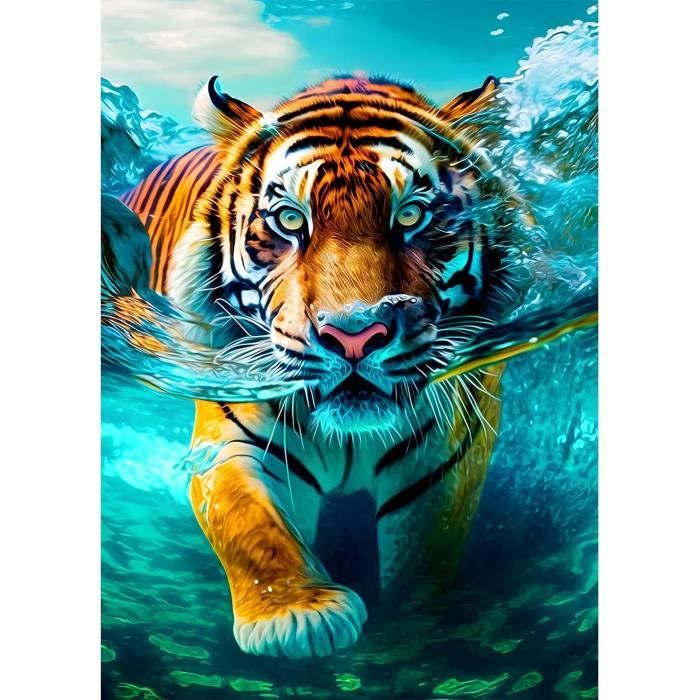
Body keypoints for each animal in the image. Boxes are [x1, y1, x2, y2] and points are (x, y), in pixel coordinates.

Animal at [120, 74, 522, 659]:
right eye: (291, 220)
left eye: (410, 216)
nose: (354, 334)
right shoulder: (233, 436)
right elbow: (249, 523)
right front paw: (296, 614)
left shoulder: (446, 463)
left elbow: (426, 560)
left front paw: (416, 626)